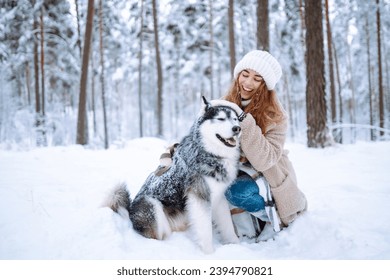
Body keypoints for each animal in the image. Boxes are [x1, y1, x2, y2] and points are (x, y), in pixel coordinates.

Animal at [105, 97, 242, 254]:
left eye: (235, 119)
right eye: (221, 119)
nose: (237, 129)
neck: (210, 154)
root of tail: (130, 212)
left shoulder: (218, 197)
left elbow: (227, 224)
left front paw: (235, 244)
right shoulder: (200, 197)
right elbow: (206, 231)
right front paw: (209, 253)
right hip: (152, 206)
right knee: (157, 236)